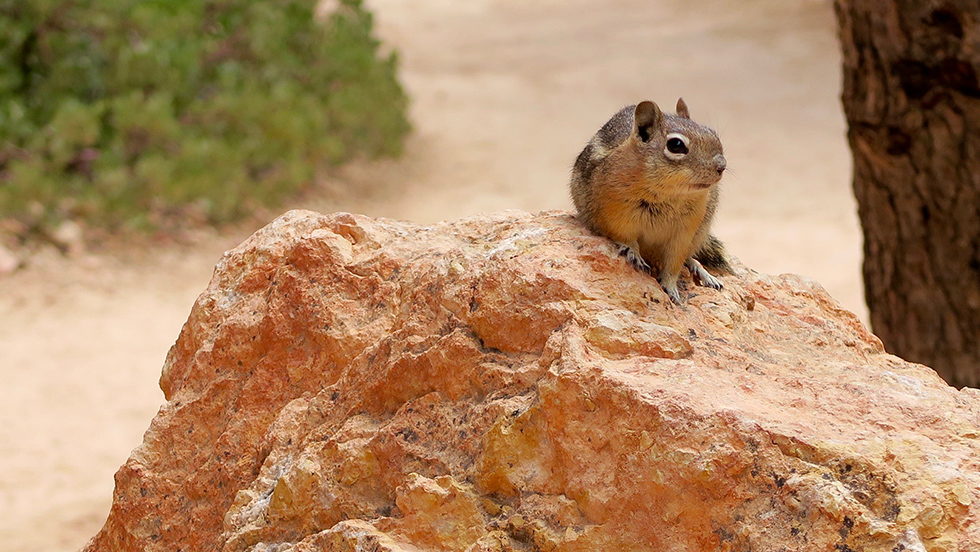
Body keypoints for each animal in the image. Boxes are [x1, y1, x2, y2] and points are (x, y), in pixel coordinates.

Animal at [570, 98, 732, 304]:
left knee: (690, 256)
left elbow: (675, 263)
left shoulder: (684, 232)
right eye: (676, 145)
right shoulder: (616, 216)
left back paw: (704, 272)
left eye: (712, 132)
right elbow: (624, 237)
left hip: (700, 233)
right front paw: (633, 252)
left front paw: (671, 288)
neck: (669, 194)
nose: (722, 165)